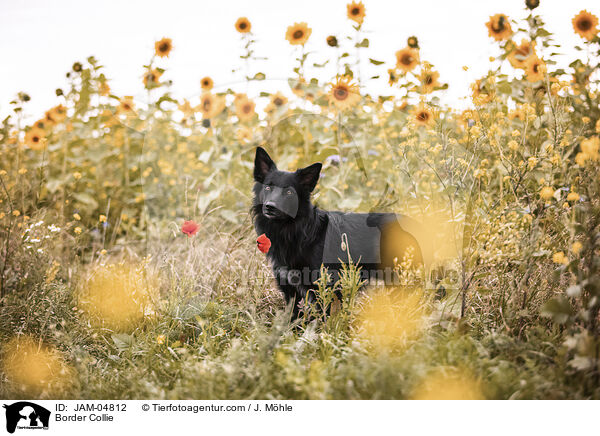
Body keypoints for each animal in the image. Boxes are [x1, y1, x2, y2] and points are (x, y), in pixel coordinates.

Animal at [251, 145, 424, 318]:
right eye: (268, 187)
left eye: (289, 193)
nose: (270, 207)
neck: (296, 231)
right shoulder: (290, 290)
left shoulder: (324, 288)